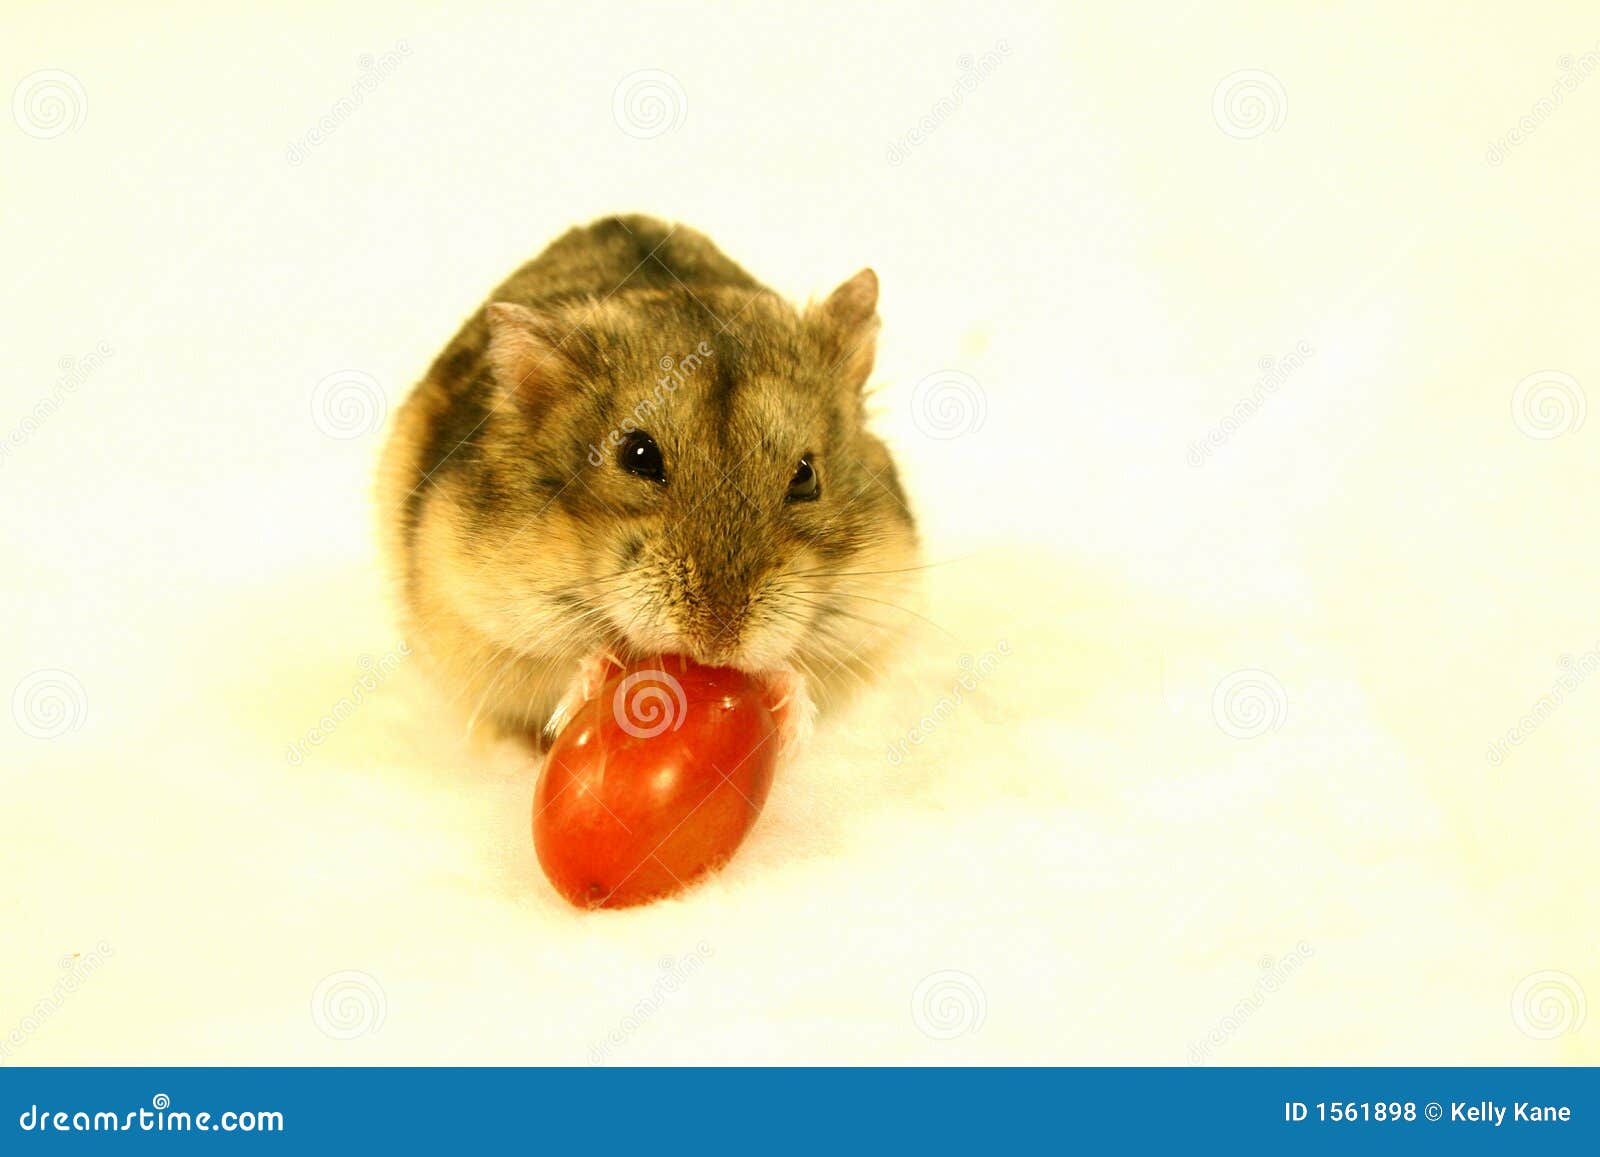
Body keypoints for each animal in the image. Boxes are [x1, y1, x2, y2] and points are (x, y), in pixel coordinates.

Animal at [377, 214, 919, 742]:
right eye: (638, 456)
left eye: (806, 477)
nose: (716, 645)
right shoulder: (478, 617)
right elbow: (562, 665)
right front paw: (601, 662)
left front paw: (783, 690)